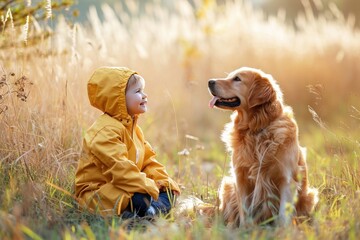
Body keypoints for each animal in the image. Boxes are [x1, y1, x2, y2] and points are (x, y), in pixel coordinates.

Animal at [208, 67, 318, 227]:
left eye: (237, 79)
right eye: (230, 76)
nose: (210, 82)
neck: (255, 129)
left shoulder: (287, 179)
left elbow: (283, 214)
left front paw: (283, 230)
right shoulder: (240, 177)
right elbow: (244, 211)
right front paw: (245, 229)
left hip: (309, 195)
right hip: (228, 185)